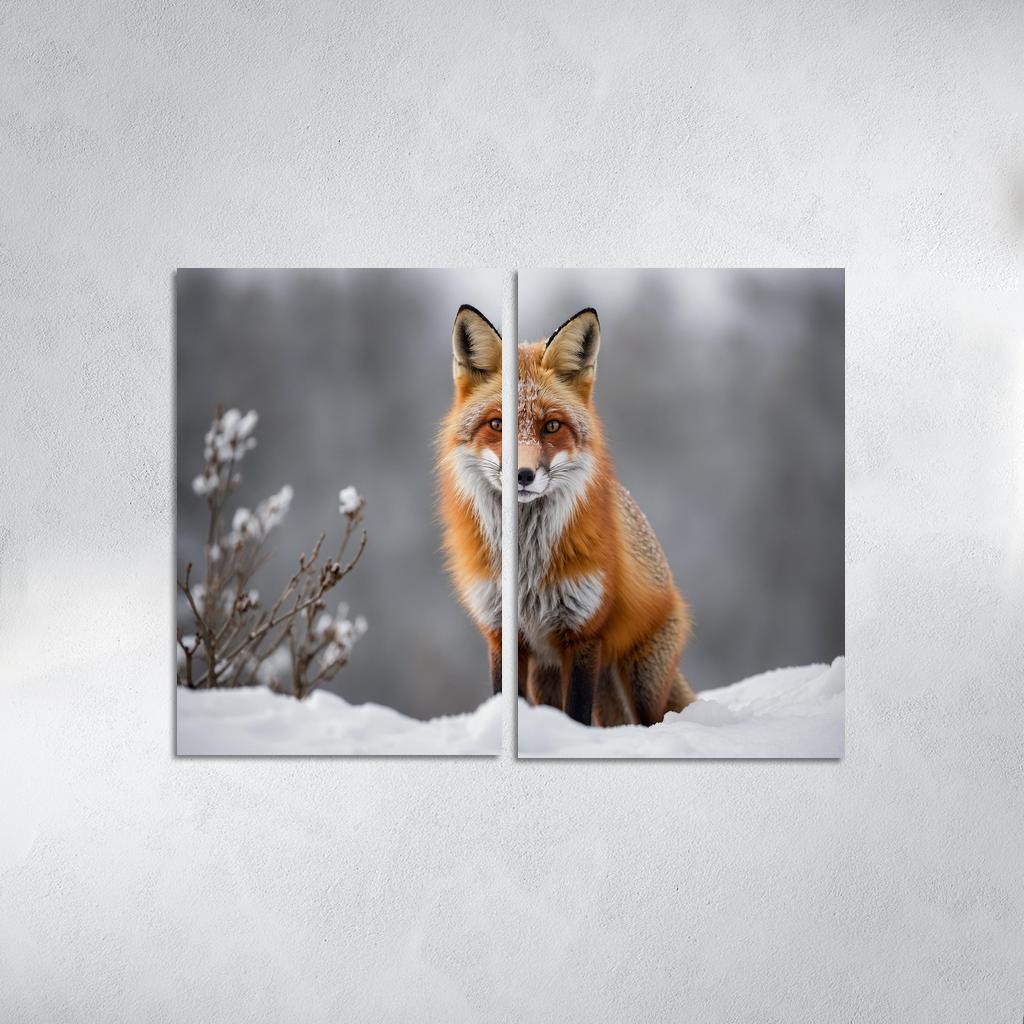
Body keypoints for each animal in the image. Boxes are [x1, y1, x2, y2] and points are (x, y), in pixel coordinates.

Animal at [439, 304, 695, 726]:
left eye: (552, 426)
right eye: (497, 424)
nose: (523, 475)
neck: (526, 567)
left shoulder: (582, 633)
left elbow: (576, 715)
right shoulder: (501, 632)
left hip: (640, 683)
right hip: (548, 678)